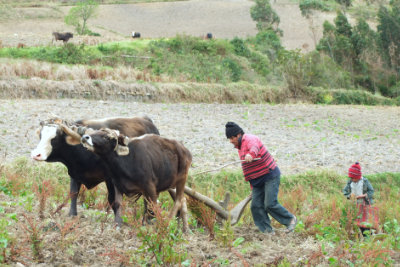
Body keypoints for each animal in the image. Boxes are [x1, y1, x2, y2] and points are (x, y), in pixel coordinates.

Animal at [30, 116, 159, 221]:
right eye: (41, 136)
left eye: (55, 138)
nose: (36, 154)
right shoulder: (74, 174)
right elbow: (73, 194)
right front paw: (72, 215)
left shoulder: (110, 179)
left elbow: (113, 200)